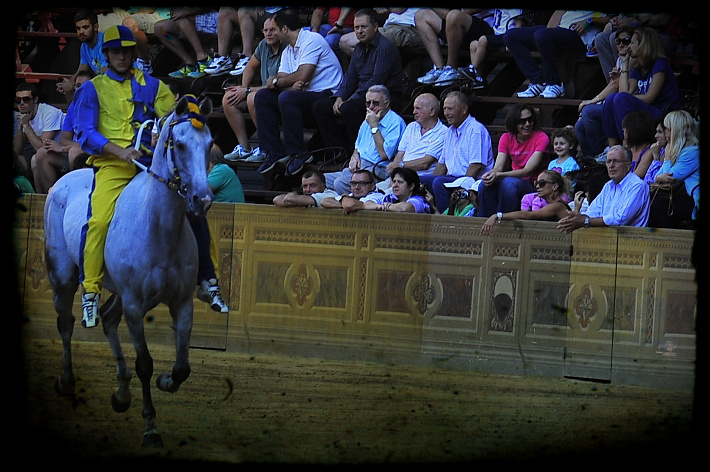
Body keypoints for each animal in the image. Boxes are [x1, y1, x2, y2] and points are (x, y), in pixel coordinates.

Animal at [44, 95, 214, 446]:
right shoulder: (136, 306)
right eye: (179, 144)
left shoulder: (182, 303)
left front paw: (166, 381)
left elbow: (182, 366)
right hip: (63, 279)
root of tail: (61, 182)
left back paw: (121, 395)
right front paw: (151, 428)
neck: (159, 226)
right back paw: (67, 380)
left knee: (108, 319)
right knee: (67, 323)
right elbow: (144, 363)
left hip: (119, 292)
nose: (202, 200)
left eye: (210, 144)